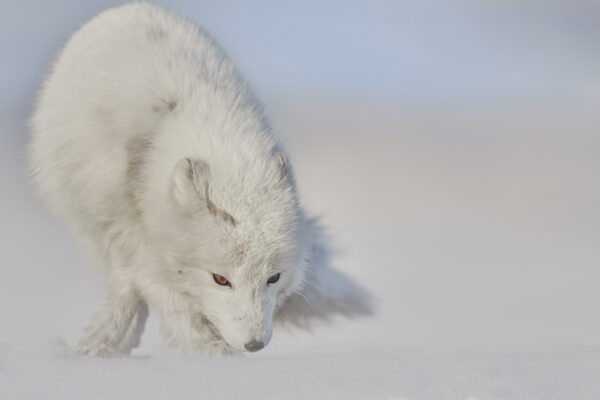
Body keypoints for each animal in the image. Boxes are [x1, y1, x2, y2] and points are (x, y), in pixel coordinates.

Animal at [28, 3, 370, 356]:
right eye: (220, 279)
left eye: (273, 278)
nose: (254, 345)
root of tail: (133, 7)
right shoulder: (132, 234)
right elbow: (161, 295)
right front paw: (208, 351)